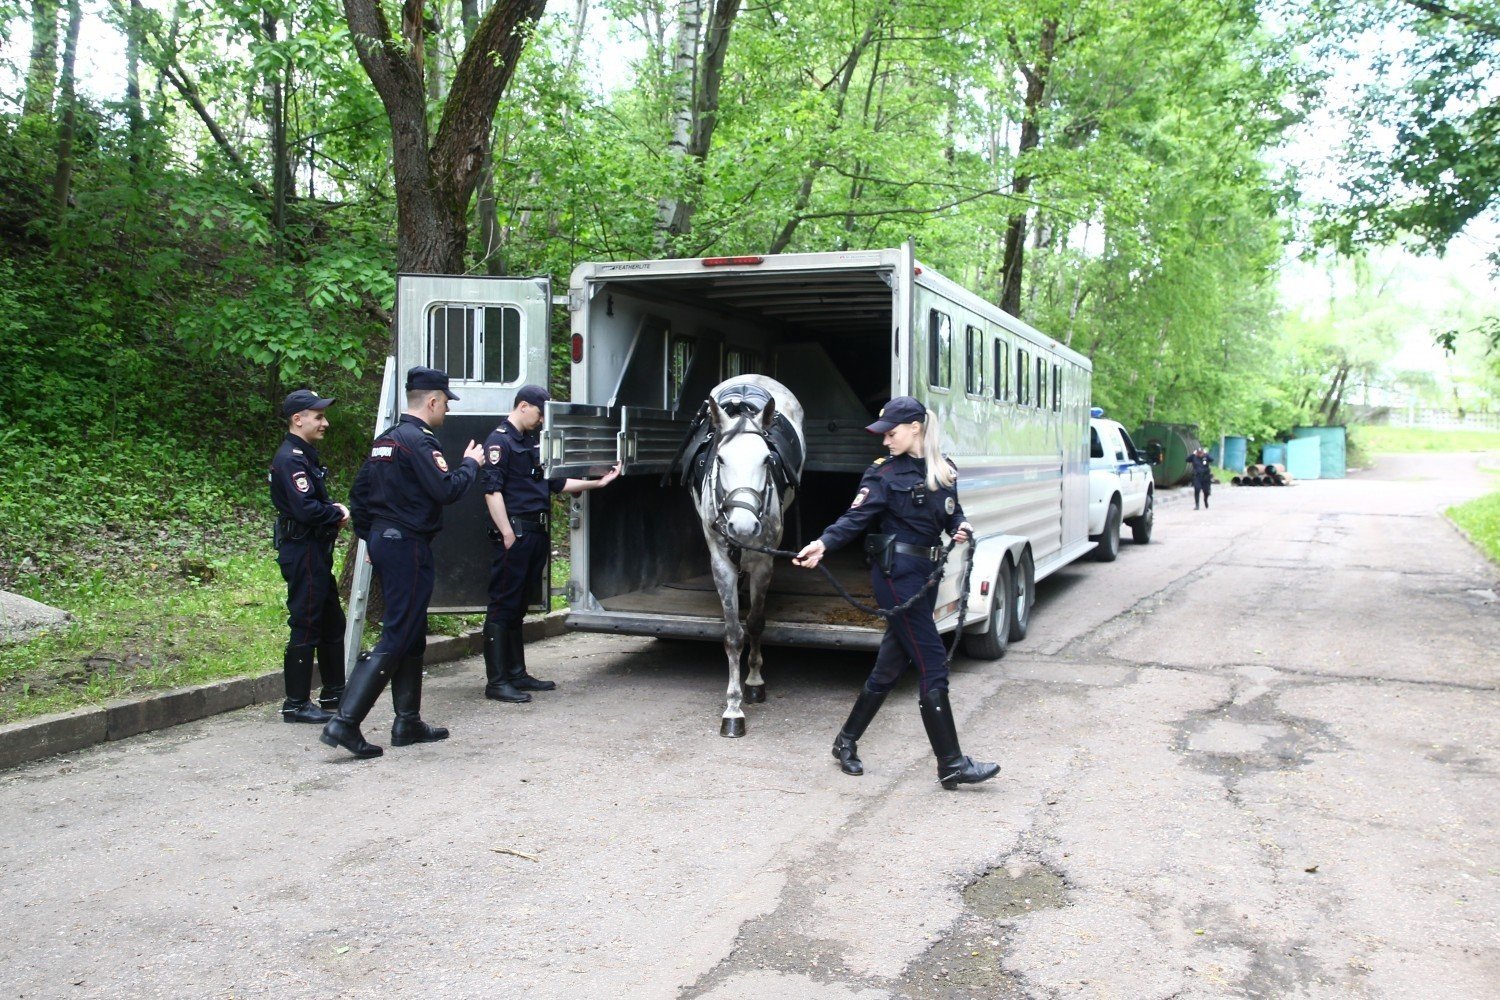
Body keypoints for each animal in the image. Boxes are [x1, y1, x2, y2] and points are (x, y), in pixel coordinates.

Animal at [687, 374, 810, 734]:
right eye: (721, 459)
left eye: (766, 460)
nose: (742, 526)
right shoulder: (720, 562)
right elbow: (733, 635)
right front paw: (732, 709)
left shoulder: (764, 562)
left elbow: (755, 623)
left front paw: (754, 681)